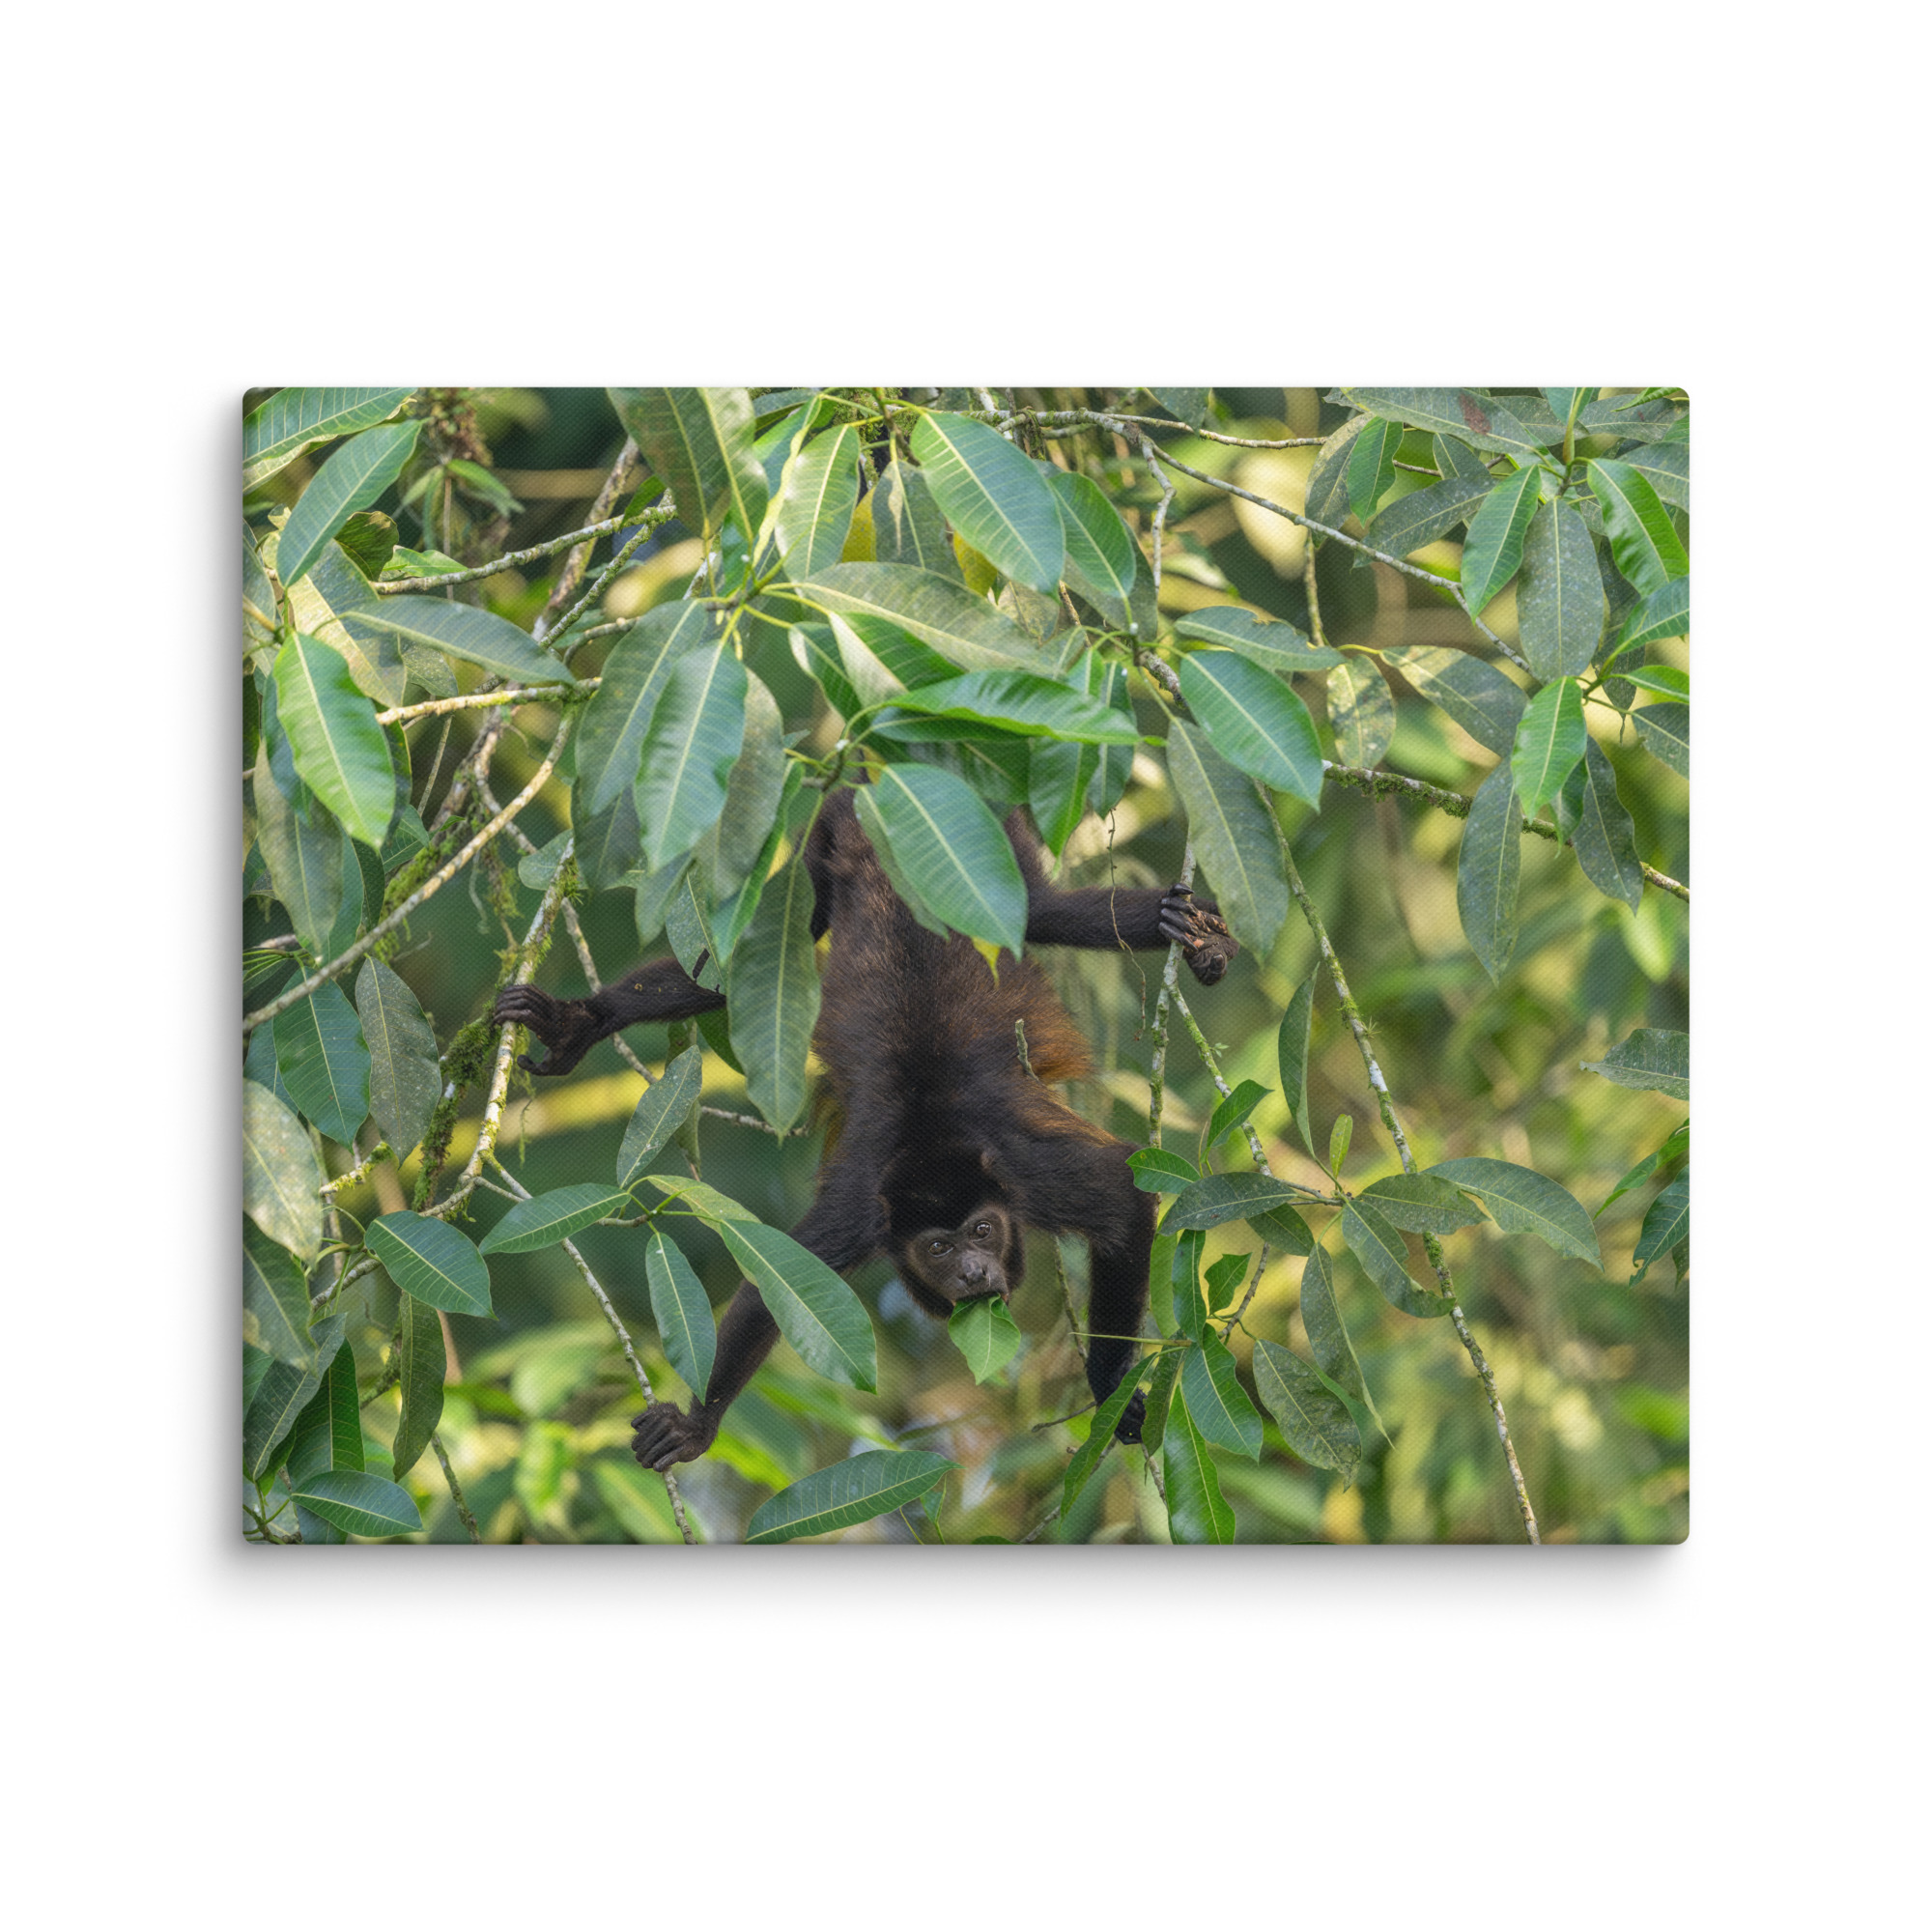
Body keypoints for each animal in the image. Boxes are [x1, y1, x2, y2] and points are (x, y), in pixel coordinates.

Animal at [492, 788, 1236, 1471]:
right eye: (937, 1247)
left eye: (983, 1230)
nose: (972, 1271)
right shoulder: (861, 1211)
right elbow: (779, 1282)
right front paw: (697, 1426)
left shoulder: (1028, 1173)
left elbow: (1121, 1194)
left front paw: (1110, 1386)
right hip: (825, 849)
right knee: (759, 953)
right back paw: (582, 1021)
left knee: (1048, 911)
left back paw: (1192, 935)